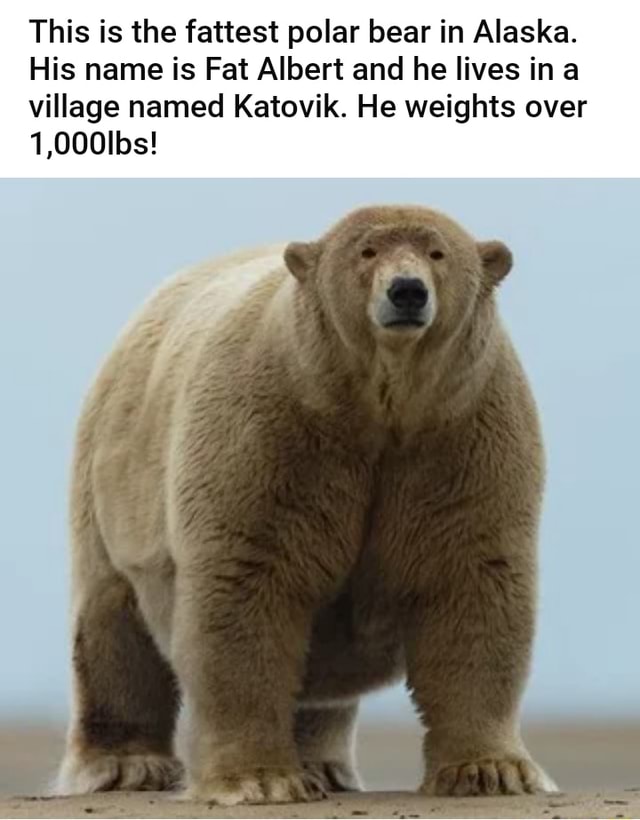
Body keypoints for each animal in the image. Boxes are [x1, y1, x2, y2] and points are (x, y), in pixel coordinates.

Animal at [56, 203, 556, 800]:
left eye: (438, 252)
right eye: (366, 251)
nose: (407, 291)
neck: (378, 407)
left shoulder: (462, 436)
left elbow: (471, 583)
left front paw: (492, 771)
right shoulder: (272, 430)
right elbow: (248, 583)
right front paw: (260, 779)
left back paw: (324, 765)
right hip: (112, 483)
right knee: (112, 623)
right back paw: (126, 766)